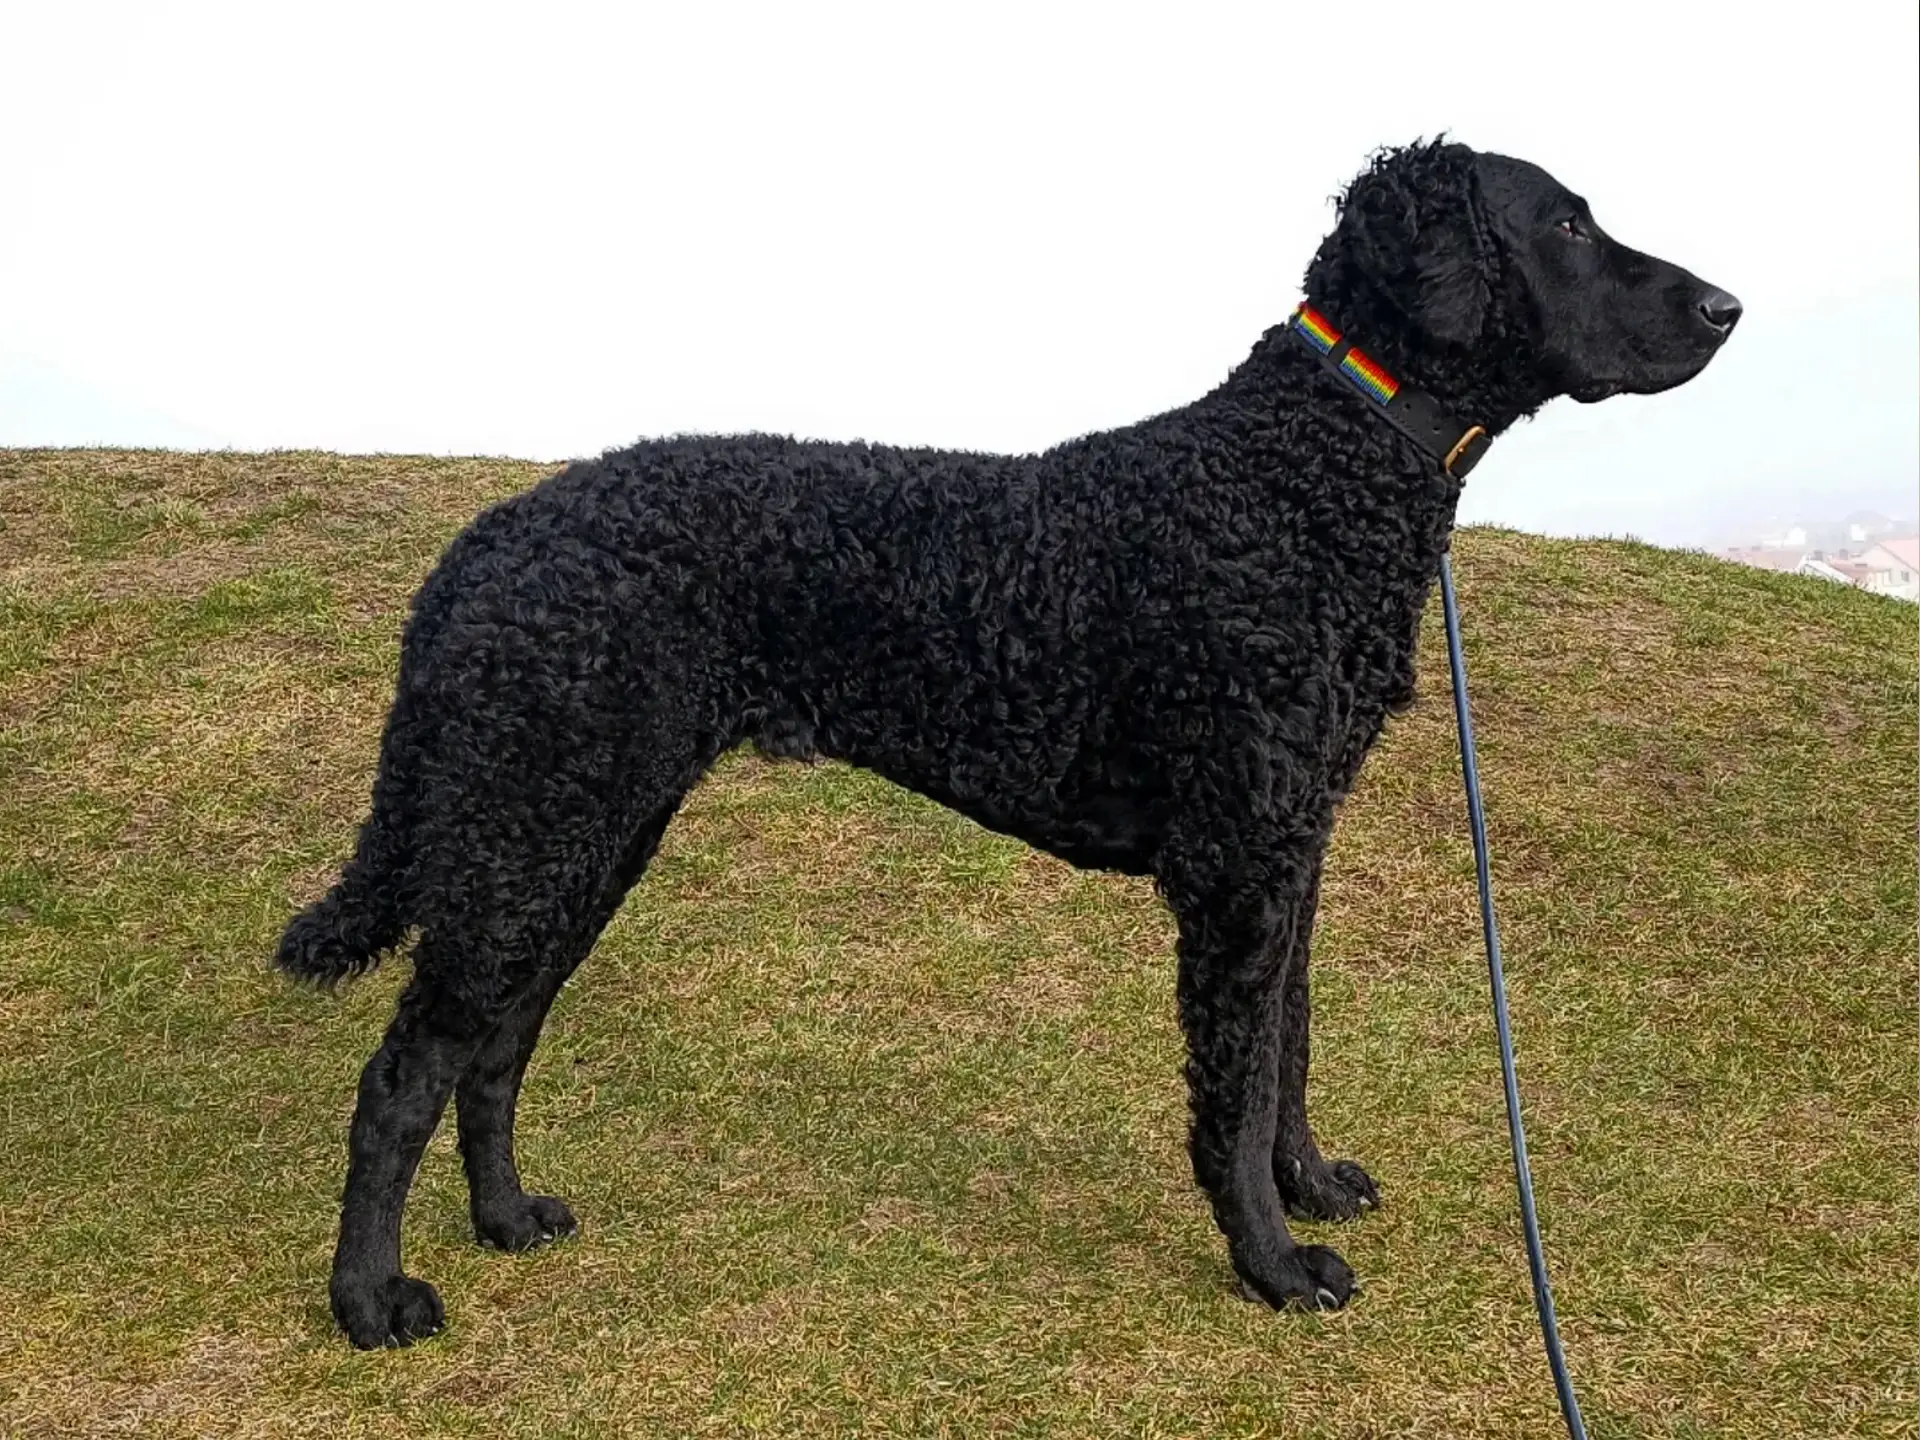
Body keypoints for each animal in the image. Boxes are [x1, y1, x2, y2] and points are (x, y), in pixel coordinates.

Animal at [280, 141, 1743, 1351]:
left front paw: (1312, 1187)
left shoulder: (1292, 847)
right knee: (403, 1074)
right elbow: (1229, 1090)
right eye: (1566, 222)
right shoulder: (1235, 869)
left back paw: (508, 1218)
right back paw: (370, 1301)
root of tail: (489, 540)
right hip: (533, 833)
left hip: (578, 838)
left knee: (497, 1046)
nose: (1729, 307)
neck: (1309, 471)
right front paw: (1273, 1267)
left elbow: (1288, 1051)